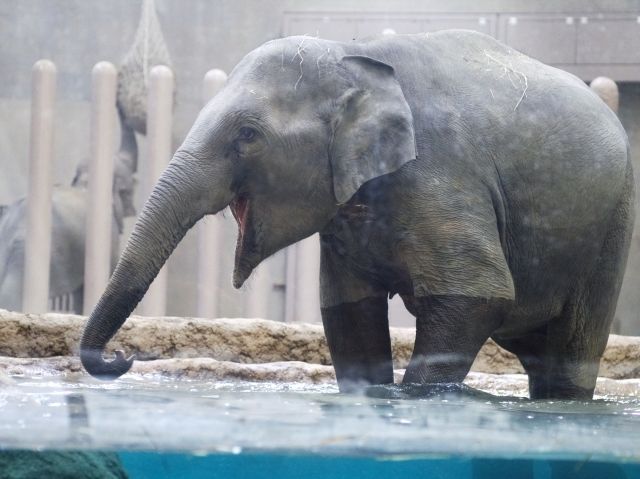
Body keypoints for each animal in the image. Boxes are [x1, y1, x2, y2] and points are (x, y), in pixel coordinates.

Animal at [79, 31, 632, 402]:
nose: (124, 356)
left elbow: (479, 295)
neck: (353, 54)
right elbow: (348, 312)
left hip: (615, 221)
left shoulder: (442, 173)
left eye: (247, 136)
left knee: (570, 353)